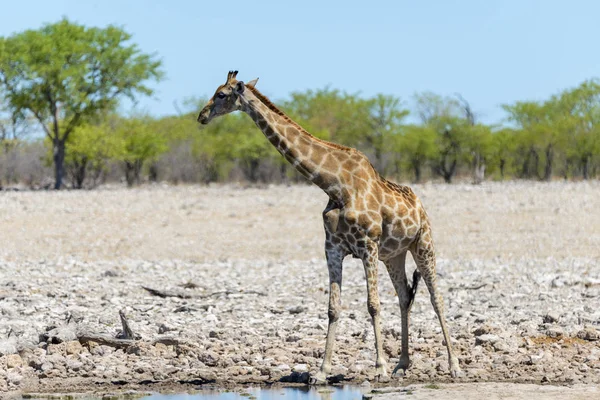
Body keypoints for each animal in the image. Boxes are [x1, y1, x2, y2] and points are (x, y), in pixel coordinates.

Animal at [197, 72, 460, 384]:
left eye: (222, 94)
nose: (201, 115)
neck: (334, 185)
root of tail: (420, 206)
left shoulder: (367, 245)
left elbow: (373, 304)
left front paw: (379, 368)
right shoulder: (333, 247)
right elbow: (333, 308)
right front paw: (322, 371)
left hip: (423, 244)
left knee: (436, 297)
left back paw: (453, 365)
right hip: (393, 255)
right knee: (405, 294)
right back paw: (403, 364)